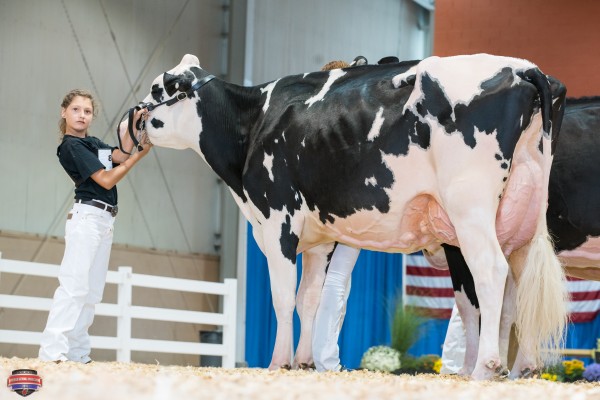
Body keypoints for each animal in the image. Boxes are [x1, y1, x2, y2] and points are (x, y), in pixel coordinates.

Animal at [122, 54, 568, 382]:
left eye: (159, 88)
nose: (133, 117)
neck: (254, 122)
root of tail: (524, 68)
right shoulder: (317, 239)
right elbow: (309, 298)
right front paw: (303, 361)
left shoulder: (276, 219)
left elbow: (283, 297)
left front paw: (278, 361)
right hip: (522, 218)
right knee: (520, 288)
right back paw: (522, 368)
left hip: (469, 206)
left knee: (491, 273)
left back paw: (485, 368)